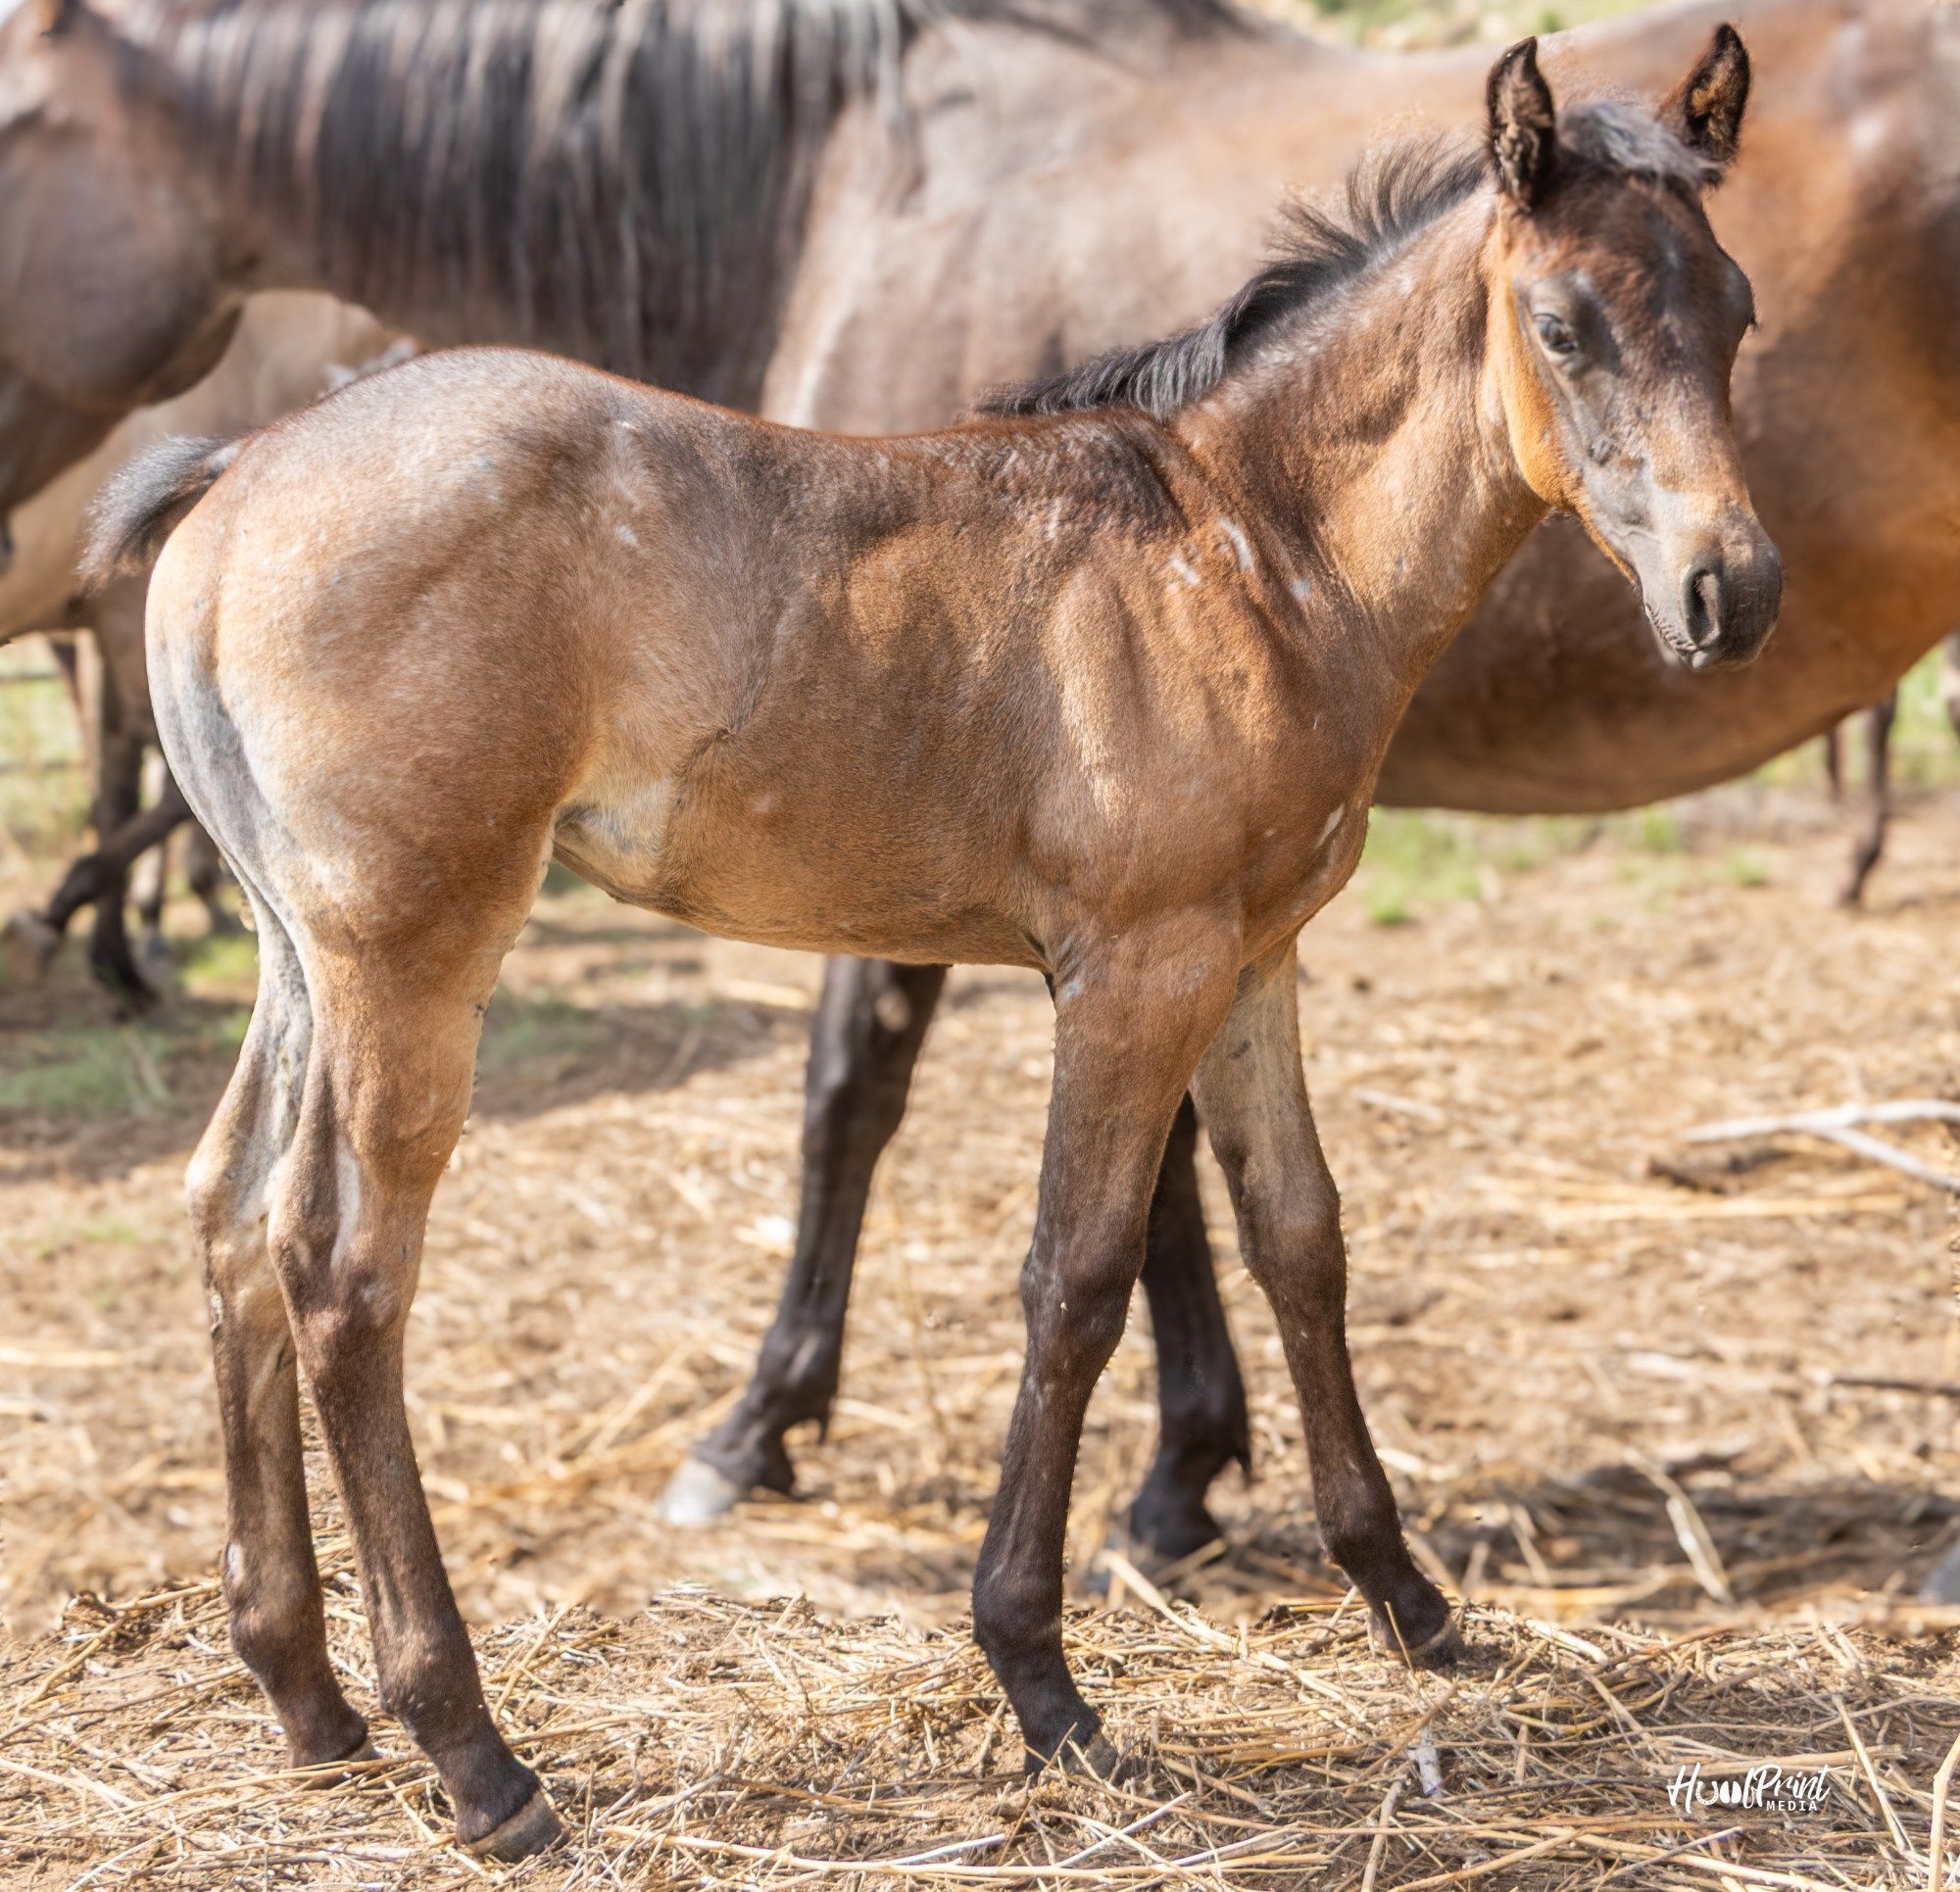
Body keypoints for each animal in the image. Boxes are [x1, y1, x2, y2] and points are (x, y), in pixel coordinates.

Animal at [92, 34, 1775, 1855]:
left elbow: (1303, 1238)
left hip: (295, 953)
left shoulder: (1255, 960)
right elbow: (1076, 1277)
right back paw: (472, 1747)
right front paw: (1040, 1674)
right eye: (1565, 325)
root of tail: (236, 477)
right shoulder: (1136, 968)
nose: (1731, 592)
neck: (1254, 552)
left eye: (1741, 309)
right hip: (414, 955)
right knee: (340, 1270)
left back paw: (305, 1693)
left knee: (228, 1217)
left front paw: (1407, 1598)